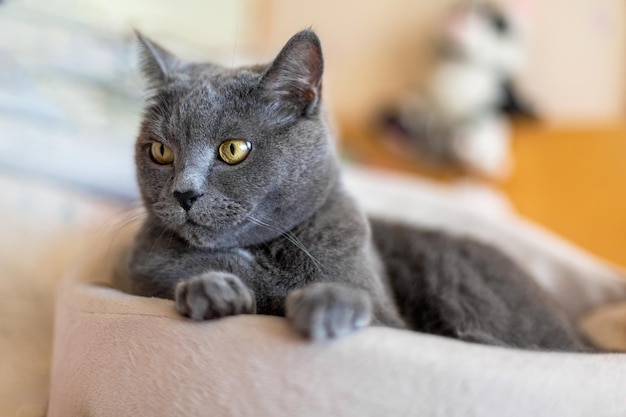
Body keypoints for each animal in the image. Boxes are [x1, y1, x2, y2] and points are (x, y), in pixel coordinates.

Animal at [125, 28, 584, 348]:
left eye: (234, 149)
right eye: (161, 151)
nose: (184, 193)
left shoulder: (390, 319)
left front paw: (325, 303)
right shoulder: (138, 268)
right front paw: (212, 289)